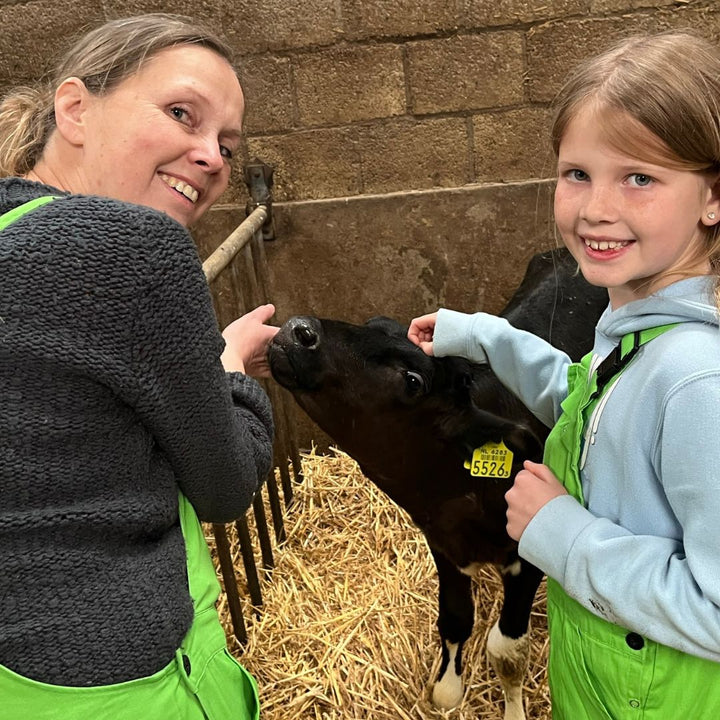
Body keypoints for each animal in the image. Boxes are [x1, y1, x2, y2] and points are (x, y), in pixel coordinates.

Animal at [268, 249, 608, 720]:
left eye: (412, 380)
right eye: (373, 321)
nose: (299, 330)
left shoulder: (532, 551)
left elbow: (507, 649)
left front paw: (513, 708)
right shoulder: (443, 542)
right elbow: (454, 620)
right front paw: (447, 689)